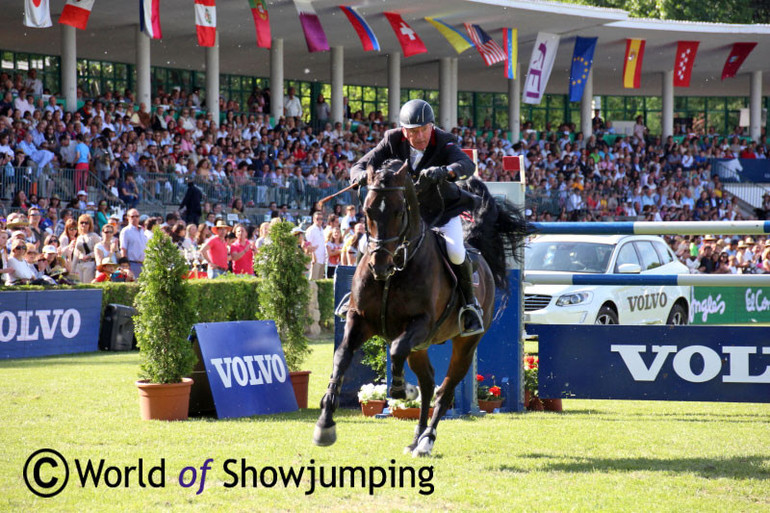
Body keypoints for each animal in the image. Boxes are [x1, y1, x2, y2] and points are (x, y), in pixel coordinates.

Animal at [308, 159, 524, 456]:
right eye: (367, 210)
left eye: (400, 211)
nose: (379, 266)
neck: (395, 270)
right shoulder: (359, 320)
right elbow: (341, 357)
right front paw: (325, 424)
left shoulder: (421, 324)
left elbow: (396, 351)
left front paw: (403, 391)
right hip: (420, 347)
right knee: (429, 382)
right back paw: (415, 437)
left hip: (464, 344)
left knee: (444, 391)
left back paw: (426, 440)